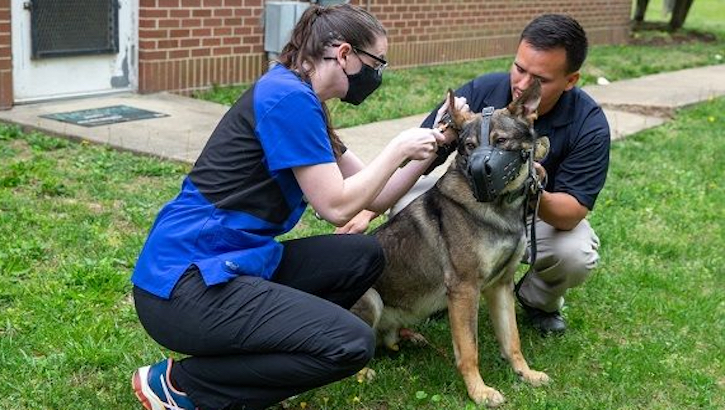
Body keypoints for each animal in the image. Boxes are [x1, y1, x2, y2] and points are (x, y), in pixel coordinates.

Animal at [350, 83, 548, 406]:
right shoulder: (464, 290)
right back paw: (363, 371)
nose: (481, 171)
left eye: (501, 141)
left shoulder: (501, 285)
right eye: (468, 146)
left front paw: (525, 374)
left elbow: (512, 341)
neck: (499, 209)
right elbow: (469, 350)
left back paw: (408, 337)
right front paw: (479, 392)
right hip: (372, 299)